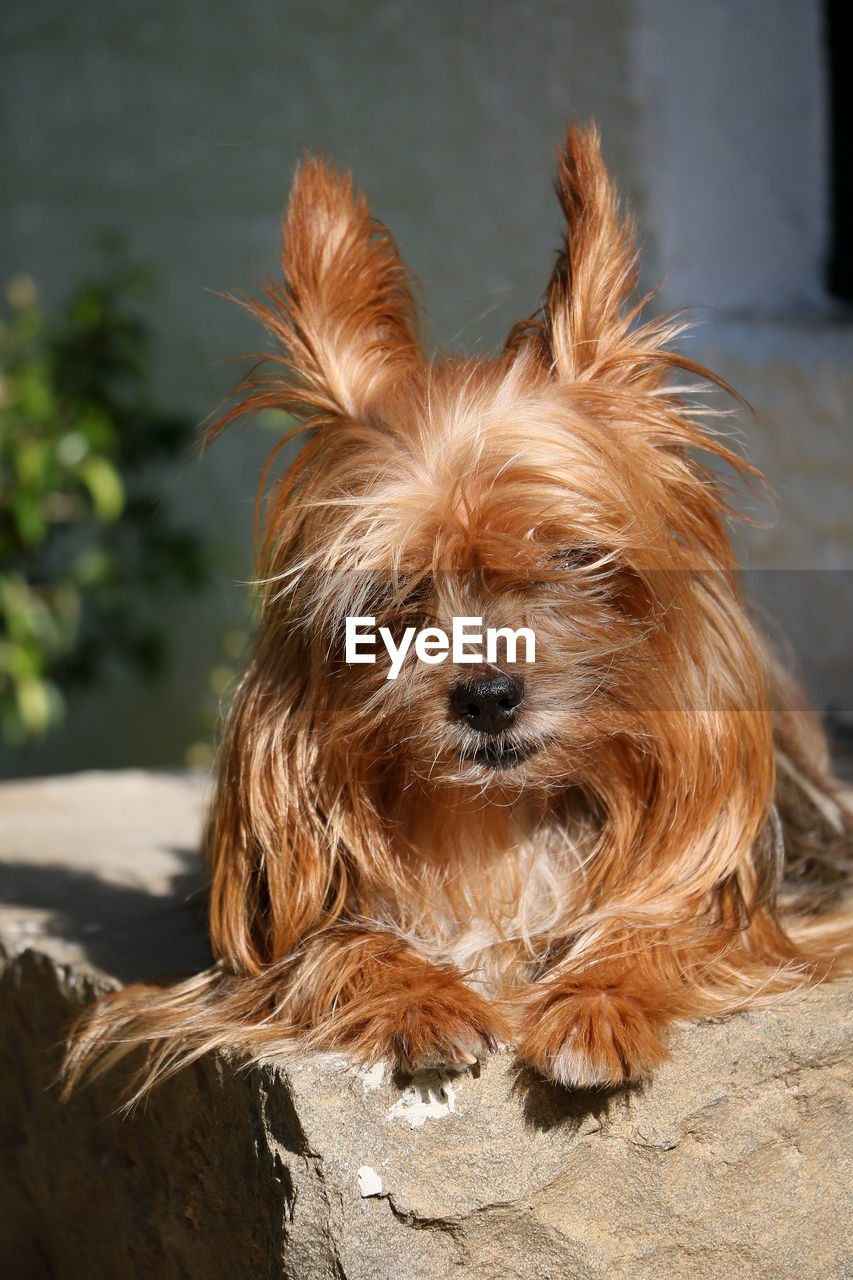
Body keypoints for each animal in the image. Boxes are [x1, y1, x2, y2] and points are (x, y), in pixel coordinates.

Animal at [66, 124, 850, 1100]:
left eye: (569, 557)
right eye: (396, 591)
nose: (487, 697)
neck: (503, 814)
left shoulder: (768, 908)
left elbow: (674, 921)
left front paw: (599, 1000)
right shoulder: (263, 946)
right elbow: (331, 945)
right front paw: (419, 997)